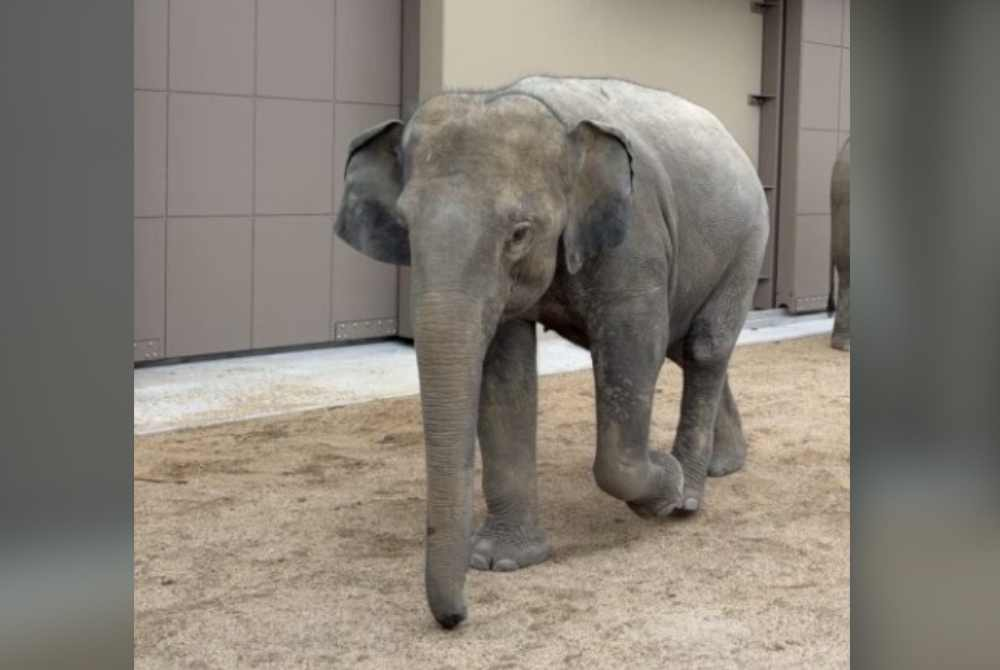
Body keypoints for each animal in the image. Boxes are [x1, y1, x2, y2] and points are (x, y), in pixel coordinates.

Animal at [334, 76, 769, 629]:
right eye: (405, 229)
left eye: (519, 233)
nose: (457, 618)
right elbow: (504, 376)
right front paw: (500, 561)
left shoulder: (636, 242)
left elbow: (633, 345)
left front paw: (664, 486)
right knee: (687, 347)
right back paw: (723, 466)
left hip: (749, 238)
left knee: (705, 345)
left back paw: (690, 495)